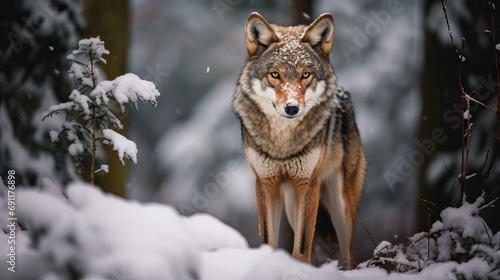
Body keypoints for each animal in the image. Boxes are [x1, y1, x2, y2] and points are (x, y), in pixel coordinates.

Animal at [232, 12, 366, 270]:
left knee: (348, 255)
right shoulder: (265, 183)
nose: (292, 108)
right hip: (291, 204)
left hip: (340, 205)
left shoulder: (308, 184)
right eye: (275, 74)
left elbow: (302, 245)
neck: (283, 143)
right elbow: (269, 240)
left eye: (305, 74)